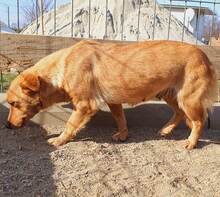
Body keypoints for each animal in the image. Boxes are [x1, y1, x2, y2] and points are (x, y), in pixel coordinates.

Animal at [6, 40, 217, 149]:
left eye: (14, 104)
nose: (7, 126)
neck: (62, 66)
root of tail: (204, 55)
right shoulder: (113, 102)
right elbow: (120, 118)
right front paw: (123, 134)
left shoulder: (84, 105)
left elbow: (70, 125)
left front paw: (60, 139)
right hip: (170, 95)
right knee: (180, 113)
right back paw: (166, 130)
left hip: (188, 99)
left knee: (198, 121)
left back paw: (191, 142)